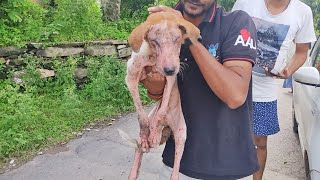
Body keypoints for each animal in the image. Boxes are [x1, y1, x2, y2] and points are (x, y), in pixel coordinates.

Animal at [125, 11, 200, 180]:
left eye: (177, 39)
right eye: (154, 41)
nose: (170, 69)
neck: (152, 57)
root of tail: (168, 127)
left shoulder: (171, 79)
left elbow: (162, 110)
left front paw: (154, 129)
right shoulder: (131, 76)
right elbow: (141, 115)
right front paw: (146, 132)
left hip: (181, 133)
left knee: (176, 164)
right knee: (139, 148)